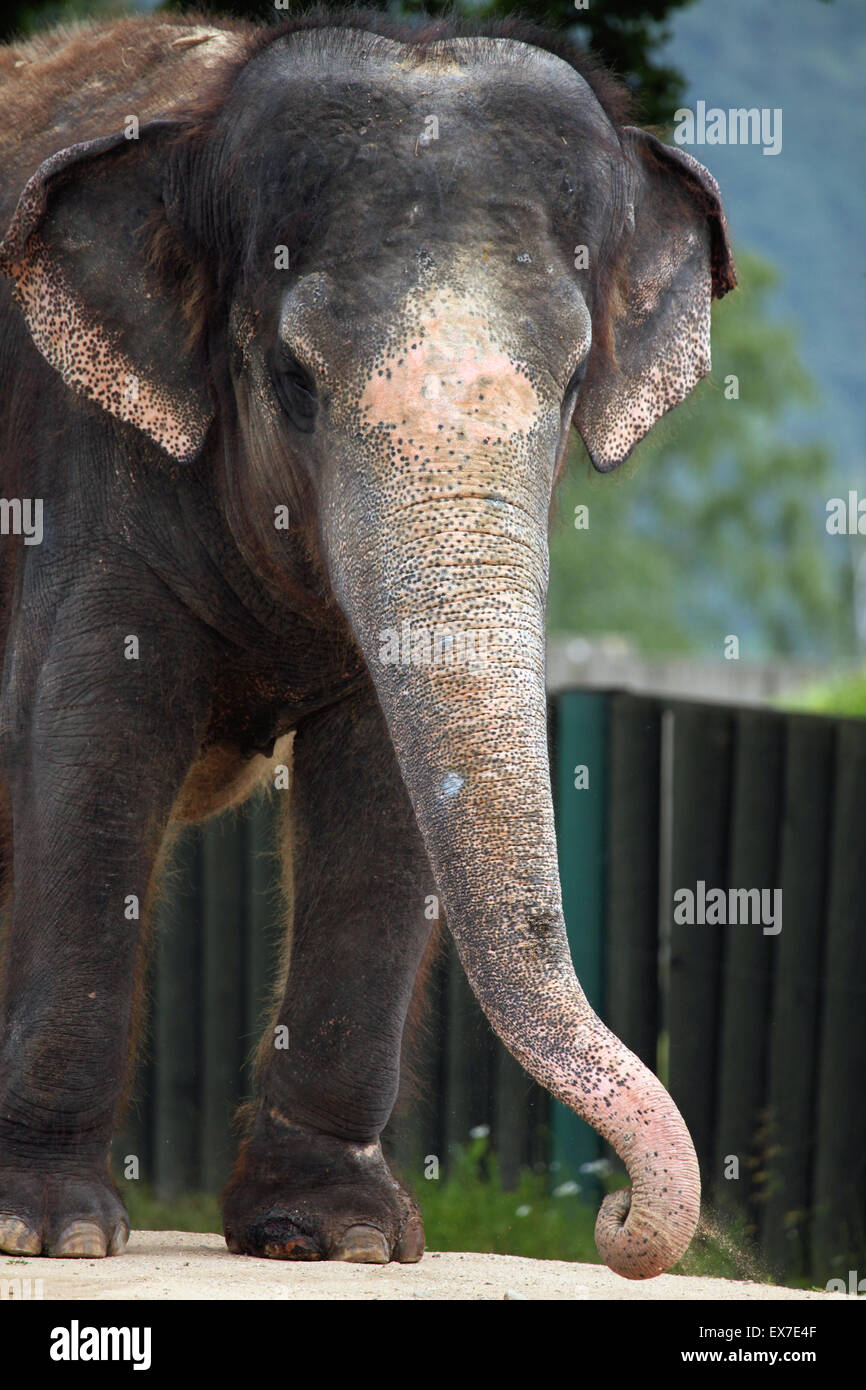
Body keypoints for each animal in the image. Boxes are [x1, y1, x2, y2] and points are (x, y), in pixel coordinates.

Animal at [0, 13, 733, 1278]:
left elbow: (382, 790)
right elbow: (87, 743)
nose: (615, 1219)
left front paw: (336, 1235)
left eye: (572, 382)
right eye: (294, 379)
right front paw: (48, 1229)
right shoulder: (81, 461)